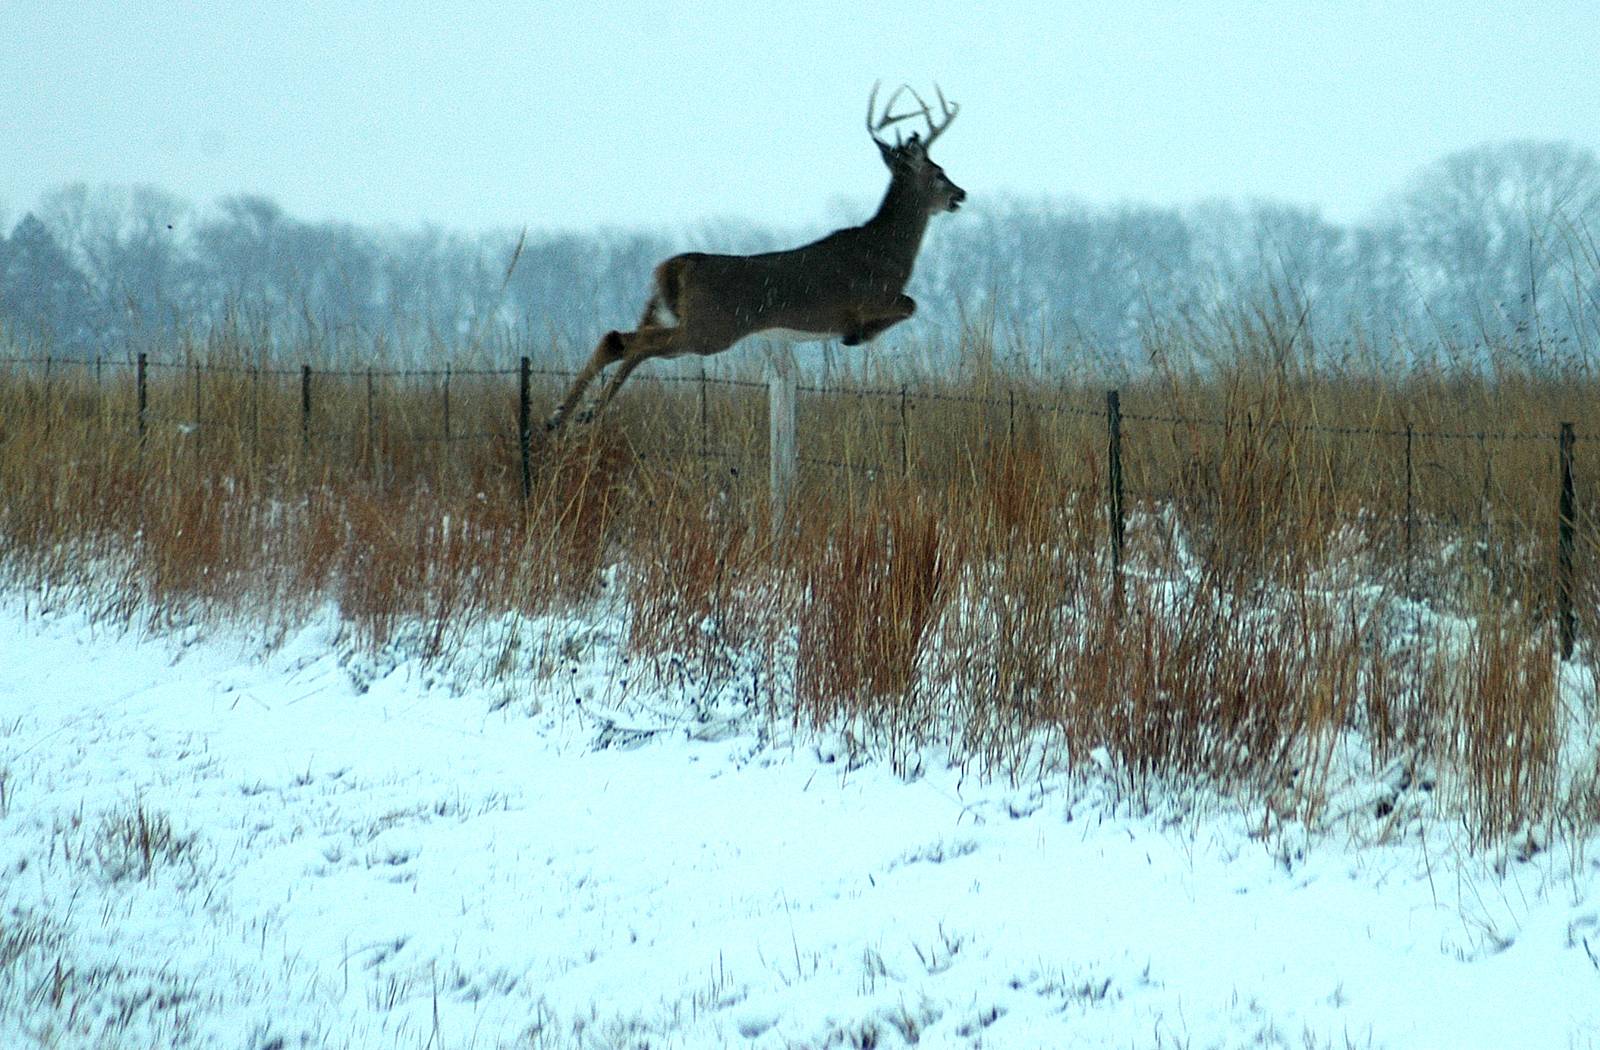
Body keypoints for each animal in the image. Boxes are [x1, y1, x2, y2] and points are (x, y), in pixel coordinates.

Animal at [546, 83, 965, 432]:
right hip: (710, 327)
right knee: (630, 343)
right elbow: (911, 304)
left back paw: (569, 414)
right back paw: (573, 413)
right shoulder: (868, 297)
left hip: (665, 313)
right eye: (938, 172)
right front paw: (857, 336)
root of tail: (675, 266)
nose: (959, 195)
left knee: (621, 341)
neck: (888, 252)